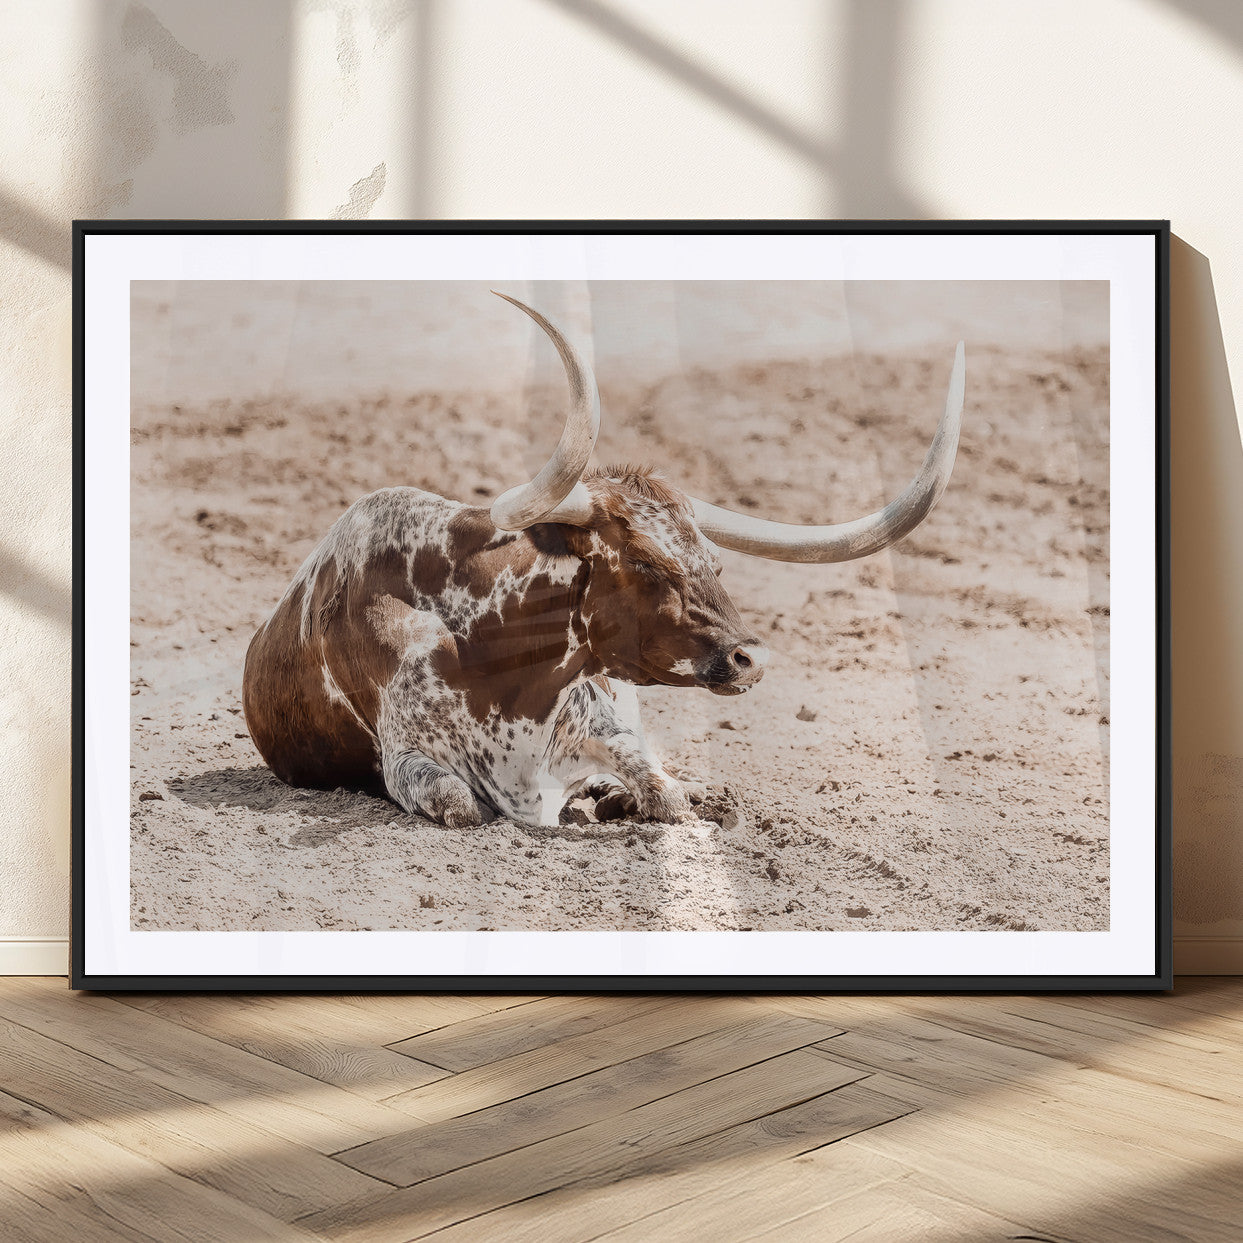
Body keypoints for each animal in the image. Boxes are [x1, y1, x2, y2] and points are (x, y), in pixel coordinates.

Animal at [243, 294, 964, 828]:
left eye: (714, 562)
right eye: (644, 564)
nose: (749, 659)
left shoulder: (606, 724)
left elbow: (662, 789)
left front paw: (636, 796)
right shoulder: (408, 761)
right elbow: (462, 803)